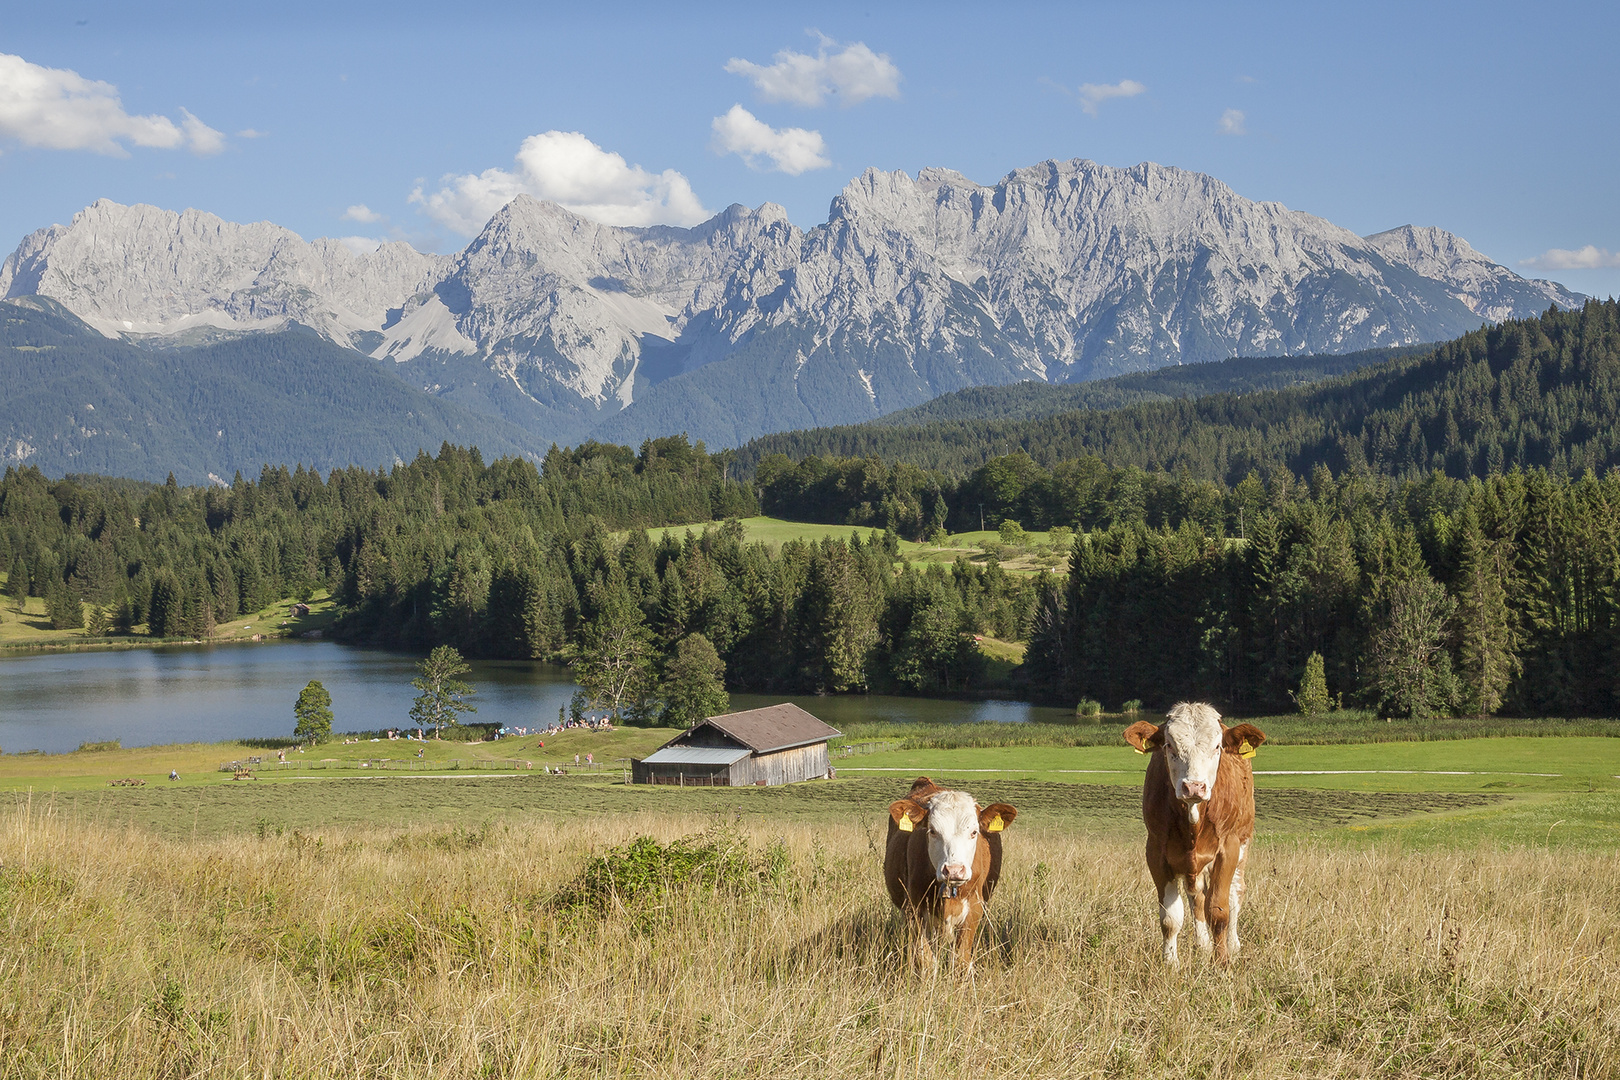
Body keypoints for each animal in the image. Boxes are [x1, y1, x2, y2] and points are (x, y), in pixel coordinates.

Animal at [881, 777, 1017, 971]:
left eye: (974, 832)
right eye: (932, 831)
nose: (954, 870)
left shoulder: (974, 909)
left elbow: (960, 960)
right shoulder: (913, 910)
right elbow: (926, 960)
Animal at [1127, 705, 1263, 965]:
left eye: (1217, 746)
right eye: (1169, 745)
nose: (1194, 786)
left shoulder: (1228, 849)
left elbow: (1219, 911)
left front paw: (1222, 962)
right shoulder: (1156, 852)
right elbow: (1171, 917)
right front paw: (1170, 962)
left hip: (1243, 840)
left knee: (1235, 893)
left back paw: (1233, 945)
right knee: (1197, 897)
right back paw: (1203, 944)